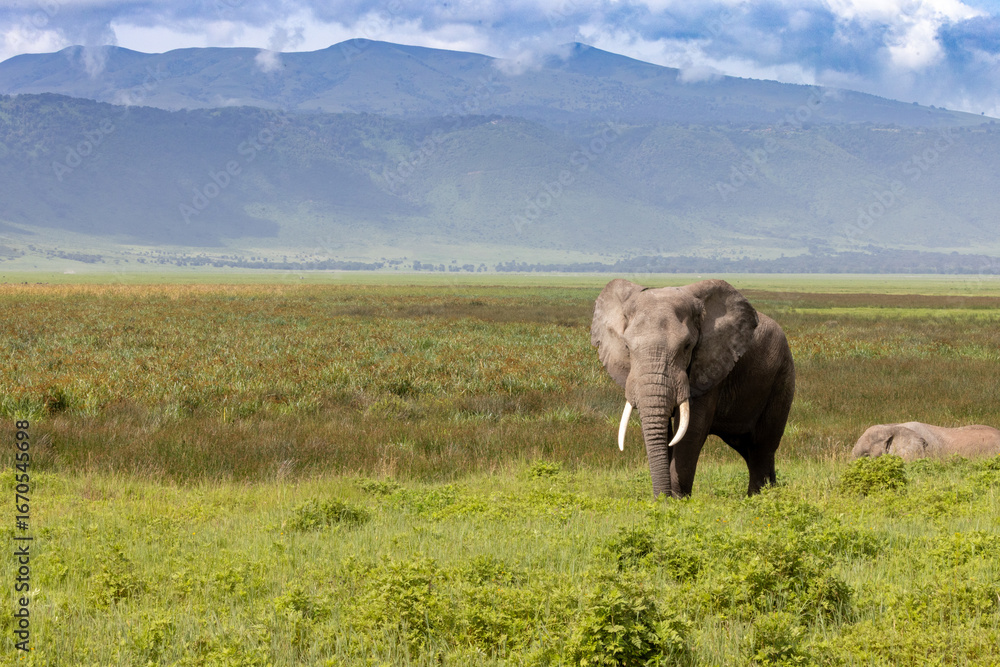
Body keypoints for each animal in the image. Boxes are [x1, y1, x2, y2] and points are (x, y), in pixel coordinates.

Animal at [591, 278, 795, 499]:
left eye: (687, 347)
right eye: (627, 348)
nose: (660, 498)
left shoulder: (710, 364)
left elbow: (691, 429)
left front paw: (677, 500)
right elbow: (663, 431)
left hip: (782, 377)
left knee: (761, 446)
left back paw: (759, 497)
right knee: (747, 446)